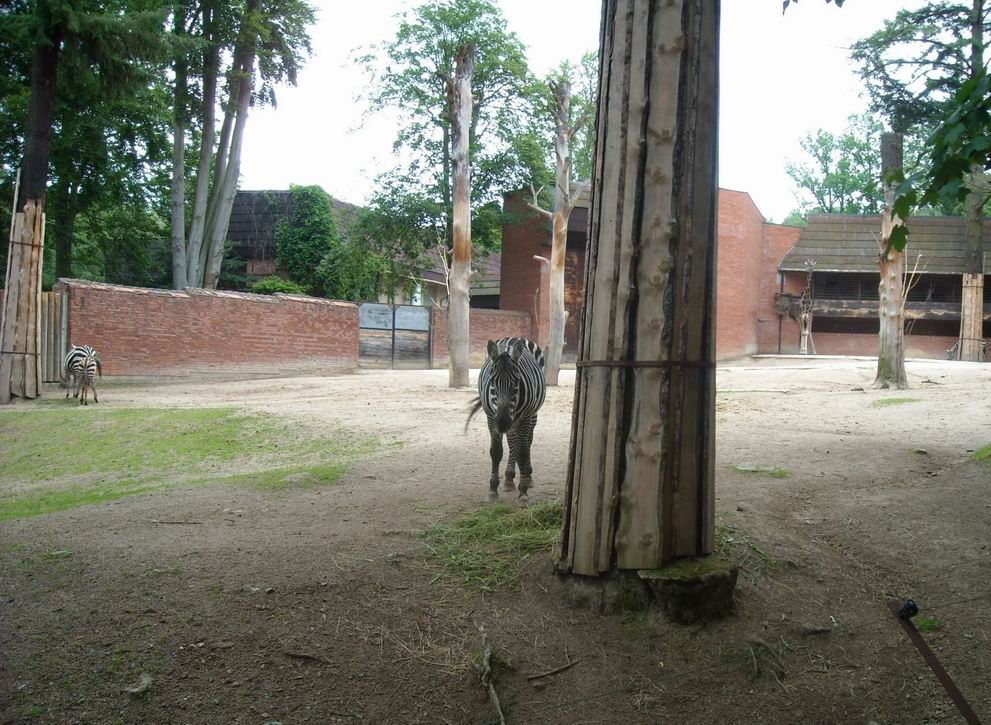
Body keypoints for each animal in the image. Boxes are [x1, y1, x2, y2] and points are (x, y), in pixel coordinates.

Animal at [466, 338, 552, 498]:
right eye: (492, 382)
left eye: (517, 382)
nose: (503, 422)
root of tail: (515, 337)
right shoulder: (491, 417)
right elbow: (496, 451)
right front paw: (493, 489)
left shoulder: (525, 417)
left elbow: (523, 452)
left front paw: (523, 491)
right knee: (513, 443)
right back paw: (509, 477)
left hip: (532, 415)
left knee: (527, 442)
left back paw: (527, 475)